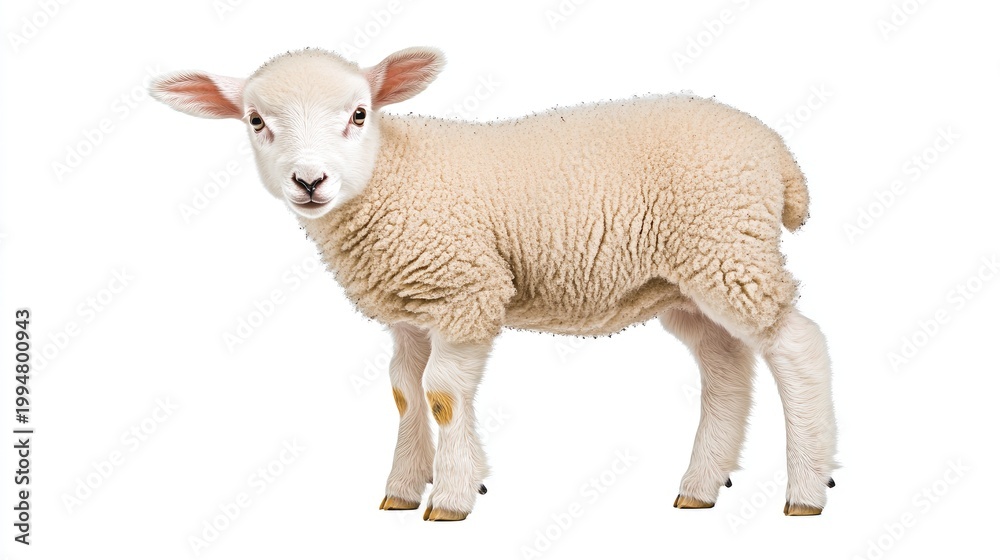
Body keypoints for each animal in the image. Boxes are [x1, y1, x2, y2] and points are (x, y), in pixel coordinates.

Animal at [150, 46, 838, 521]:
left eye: (359, 114)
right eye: (255, 120)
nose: (310, 181)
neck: (394, 172)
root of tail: (779, 156)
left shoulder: (467, 291)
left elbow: (442, 395)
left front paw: (452, 498)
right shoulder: (411, 310)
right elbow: (404, 393)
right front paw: (403, 490)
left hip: (727, 246)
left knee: (797, 346)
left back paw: (806, 488)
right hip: (689, 280)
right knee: (726, 368)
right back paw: (699, 487)